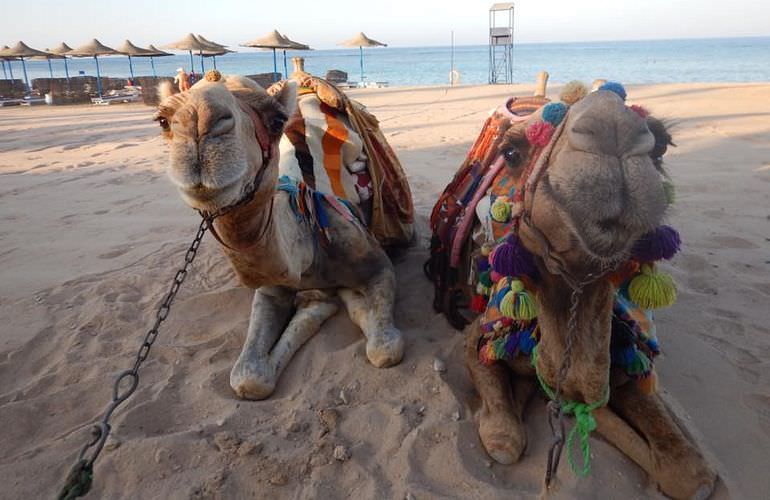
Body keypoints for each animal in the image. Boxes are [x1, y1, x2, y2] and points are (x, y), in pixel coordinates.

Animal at [156, 71, 408, 398]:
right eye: (163, 120)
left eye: (277, 121)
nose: (199, 120)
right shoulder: (271, 289)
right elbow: (247, 377)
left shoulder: (377, 265)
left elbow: (385, 348)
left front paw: (347, 302)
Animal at [428, 80, 716, 498]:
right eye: (512, 152)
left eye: (661, 143)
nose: (612, 127)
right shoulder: (478, 335)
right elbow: (505, 441)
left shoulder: (626, 363)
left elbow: (689, 472)